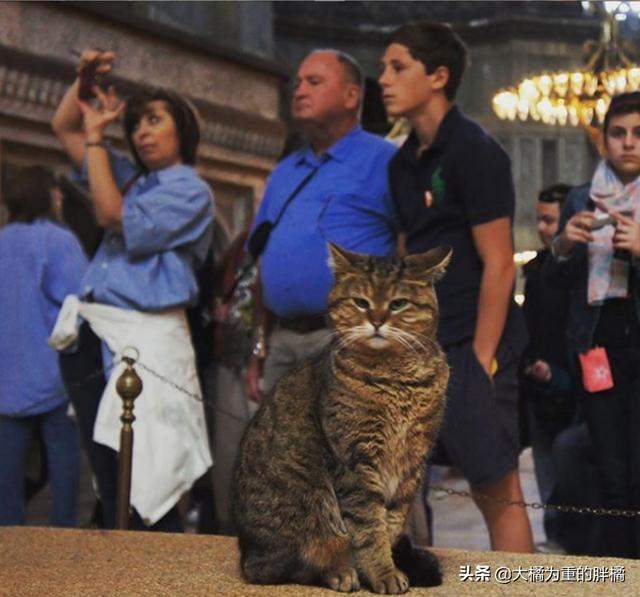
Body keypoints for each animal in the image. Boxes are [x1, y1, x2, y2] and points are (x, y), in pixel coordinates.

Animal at [234, 241, 450, 592]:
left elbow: (390, 525)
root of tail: (245, 551)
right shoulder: (356, 461)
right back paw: (338, 572)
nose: (376, 320)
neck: (396, 380)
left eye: (398, 303)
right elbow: (369, 528)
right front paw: (383, 573)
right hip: (310, 512)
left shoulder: (411, 465)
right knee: (285, 567)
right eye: (361, 302)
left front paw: (388, 567)